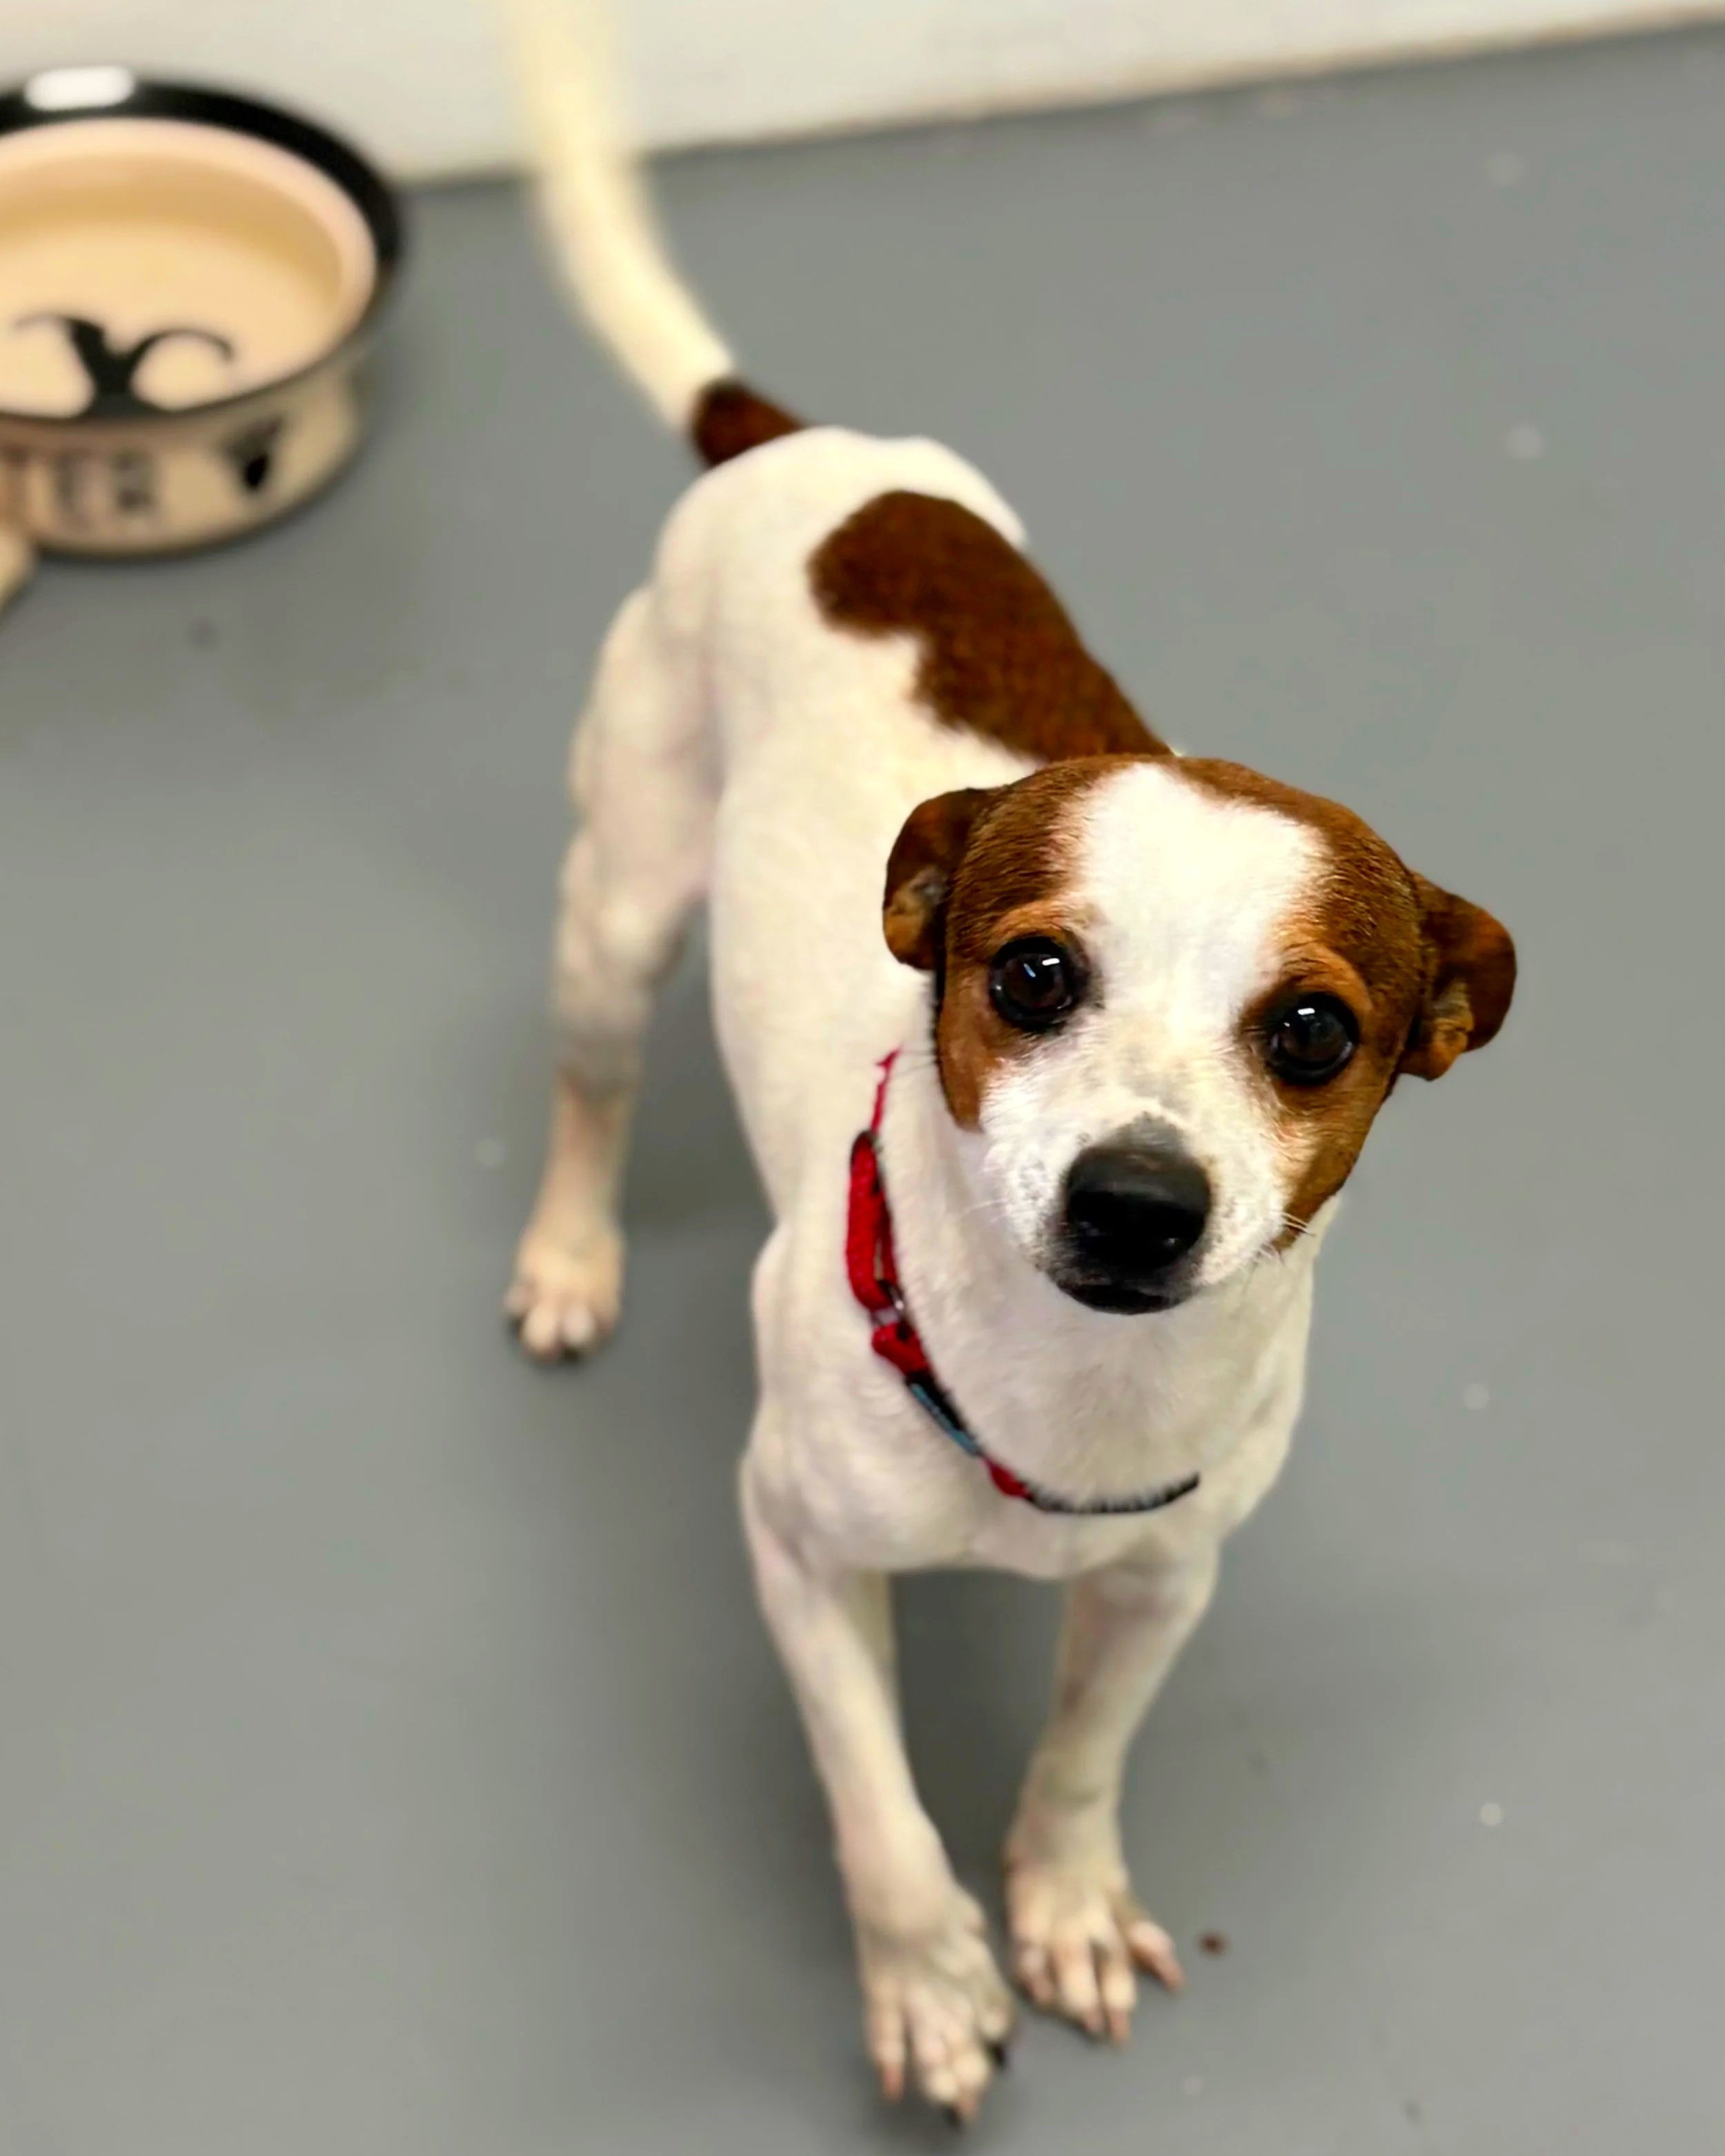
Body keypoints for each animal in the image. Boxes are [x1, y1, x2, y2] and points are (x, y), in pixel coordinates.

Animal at [498, 0, 1515, 2120]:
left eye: (1316, 1028)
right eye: (1033, 973)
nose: (1137, 1202)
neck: (1063, 1402)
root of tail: (801, 448)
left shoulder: (1160, 1584)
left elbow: (1078, 1757)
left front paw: (1056, 1900)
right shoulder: (794, 1550)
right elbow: (879, 1815)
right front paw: (928, 1982)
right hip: (615, 909)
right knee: (591, 1083)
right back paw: (565, 1254)